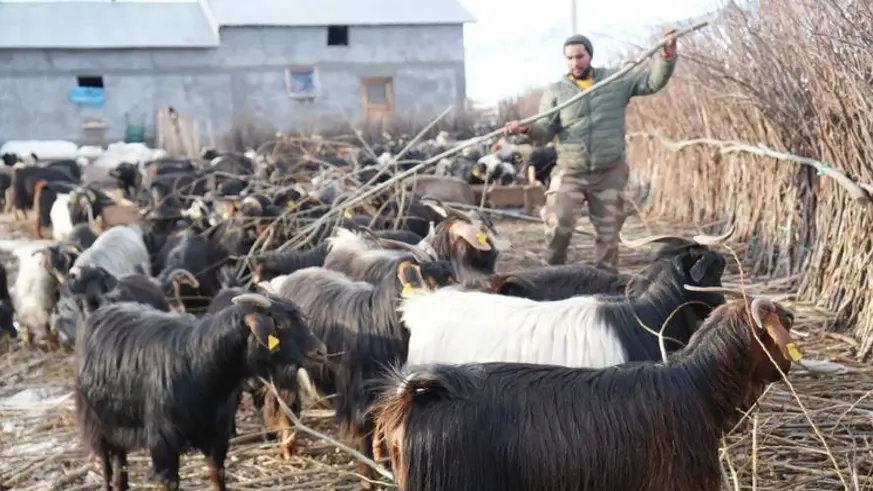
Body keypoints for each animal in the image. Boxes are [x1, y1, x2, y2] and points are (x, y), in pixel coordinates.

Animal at [74, 292, 328, 491]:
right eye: (281, 325)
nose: (321, 351)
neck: (199, 363)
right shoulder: (163, 443)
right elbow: (169, 483)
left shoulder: (217, 436)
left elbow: (217, 477)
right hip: (96, 423)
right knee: (106, 465)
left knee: (120, 462)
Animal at [264, 250, 456, 484]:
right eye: (437, 280)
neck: (380, 324)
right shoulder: (356, 395)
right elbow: (363, 431)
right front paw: (369, 479)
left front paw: (383, 460)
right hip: (287, 368)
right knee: (285, 403)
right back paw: (287, 449)